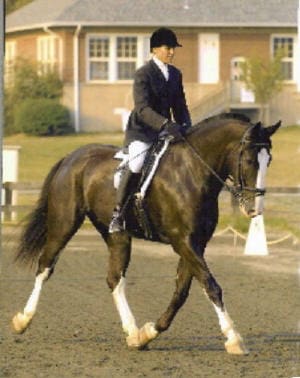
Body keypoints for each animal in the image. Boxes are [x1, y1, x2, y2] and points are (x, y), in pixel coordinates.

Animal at [10, 113, 280, 354]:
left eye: (269, 161)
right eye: (249, 160)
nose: (255, 209)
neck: (192, 173)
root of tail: (72, 156)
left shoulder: (195, 244)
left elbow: (181, 293)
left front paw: (148, 333)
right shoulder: (183, 241)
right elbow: (211, 285)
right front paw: (234, 339)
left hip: (117, 236)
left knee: (114, 278)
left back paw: (132, 332)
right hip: (64, 223)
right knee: (45, 266)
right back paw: (23, 320)